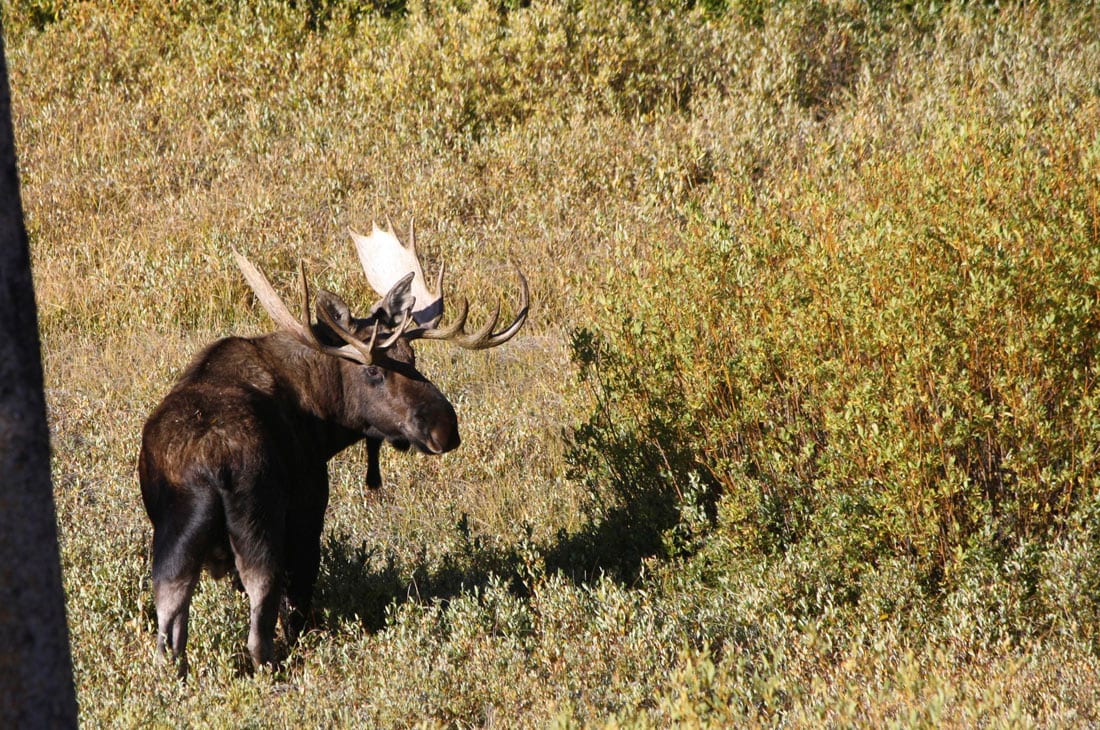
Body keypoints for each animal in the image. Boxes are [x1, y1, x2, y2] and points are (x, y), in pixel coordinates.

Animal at [138, 222, 528, 677]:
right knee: (260, 623)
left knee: (169, 628)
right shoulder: (309, 507)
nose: (445, 427)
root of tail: (212, 466)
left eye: (412, 355)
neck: (324, 421)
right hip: (260, 523)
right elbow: (299, 603)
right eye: (373, 370)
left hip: (174, 539)